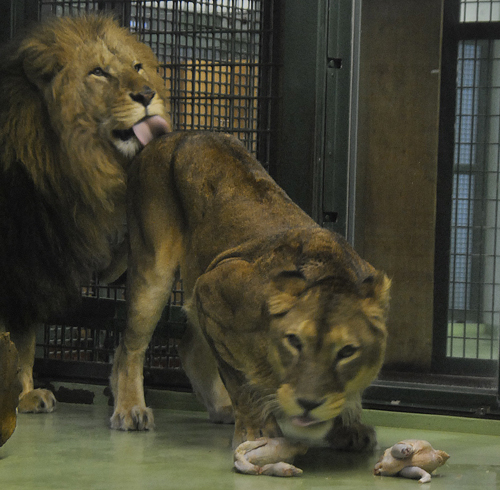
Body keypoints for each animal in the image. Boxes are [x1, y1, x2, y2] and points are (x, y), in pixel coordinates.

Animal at [0, 15, 171, 414]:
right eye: (98, 72)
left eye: (137, 68)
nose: (147, 95)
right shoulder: (19, 254)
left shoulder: (35, 260)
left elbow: (22, 342)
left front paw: (24, 395)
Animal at [113, 131, 390, 474]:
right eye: (294, 342)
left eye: (347, 351)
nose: (309, 404)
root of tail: (176, 134)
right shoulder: (212, 286)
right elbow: (240, 379)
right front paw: (258, 431)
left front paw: (347, 427)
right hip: (152, 268)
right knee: (130, 346)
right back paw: (130, 410)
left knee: (188, 345)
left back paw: (220, 407)